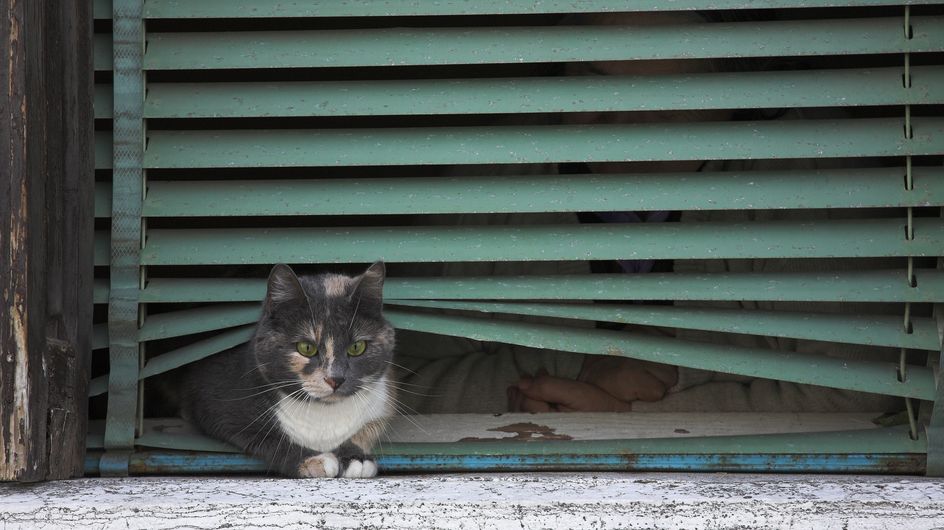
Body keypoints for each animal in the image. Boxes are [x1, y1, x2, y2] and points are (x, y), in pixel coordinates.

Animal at [181, 262, 394, 476]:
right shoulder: (219, 407)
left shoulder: (382, 405)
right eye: (306, 348)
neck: (322, 414)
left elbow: (366, 430)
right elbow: (269, 439)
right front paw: (314, 460)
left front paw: (356, 458)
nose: (336, 378)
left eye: (357, 347)